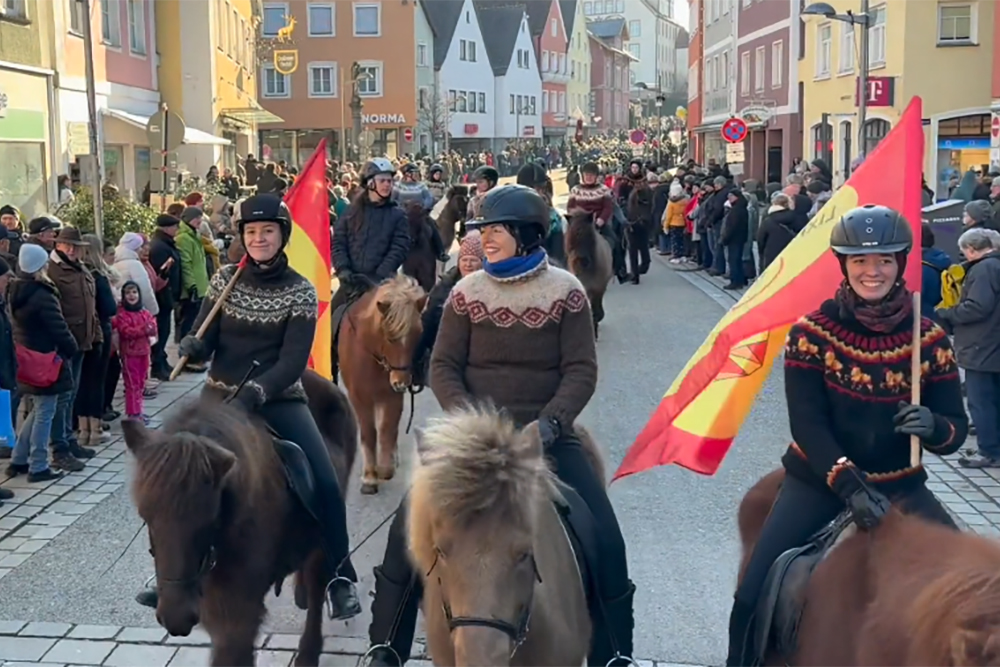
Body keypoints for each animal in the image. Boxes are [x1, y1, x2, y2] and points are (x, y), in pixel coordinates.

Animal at [340, 272, 426, 496]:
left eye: (418, 333)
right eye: (389, 336)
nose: (401, 381)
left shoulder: (391, 396)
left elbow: (387, 428)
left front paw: (385, 468)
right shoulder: (360, 398)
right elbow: (369, 433)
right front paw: (370, 477)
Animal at [568, 210, 612, 340]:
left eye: (581, 231)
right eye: (569, 232)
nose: (578, 261)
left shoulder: (599, 287)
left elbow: (596, 309)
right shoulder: (585, 287)